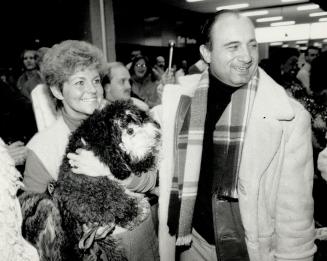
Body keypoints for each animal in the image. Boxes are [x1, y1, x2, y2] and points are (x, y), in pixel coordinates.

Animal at [20, 100, 161, 260]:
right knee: (118, 207)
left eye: (128, 118)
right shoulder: (112, 157)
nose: (130, 130)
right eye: (116, 127)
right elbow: (123, 166)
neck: (103, 130)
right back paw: (137, 211)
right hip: (102, 189)